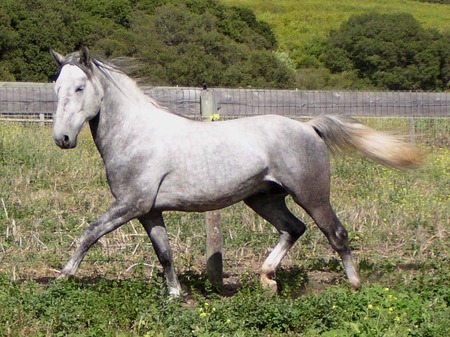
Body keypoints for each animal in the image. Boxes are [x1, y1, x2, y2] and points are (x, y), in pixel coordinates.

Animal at [50, 48, 422, 296]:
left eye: (80, 88)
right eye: (56, 89)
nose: (62, 139)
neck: (135, 136)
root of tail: (309, 127)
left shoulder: (131, 203)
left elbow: (90, 233)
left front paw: (62, 276)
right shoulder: (148, 210)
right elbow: (164, 253)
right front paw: (175, 296)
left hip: (311, 195)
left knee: (337, 233)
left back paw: (354, 284)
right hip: (263, 199)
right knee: (293, 229)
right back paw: (267, 278)